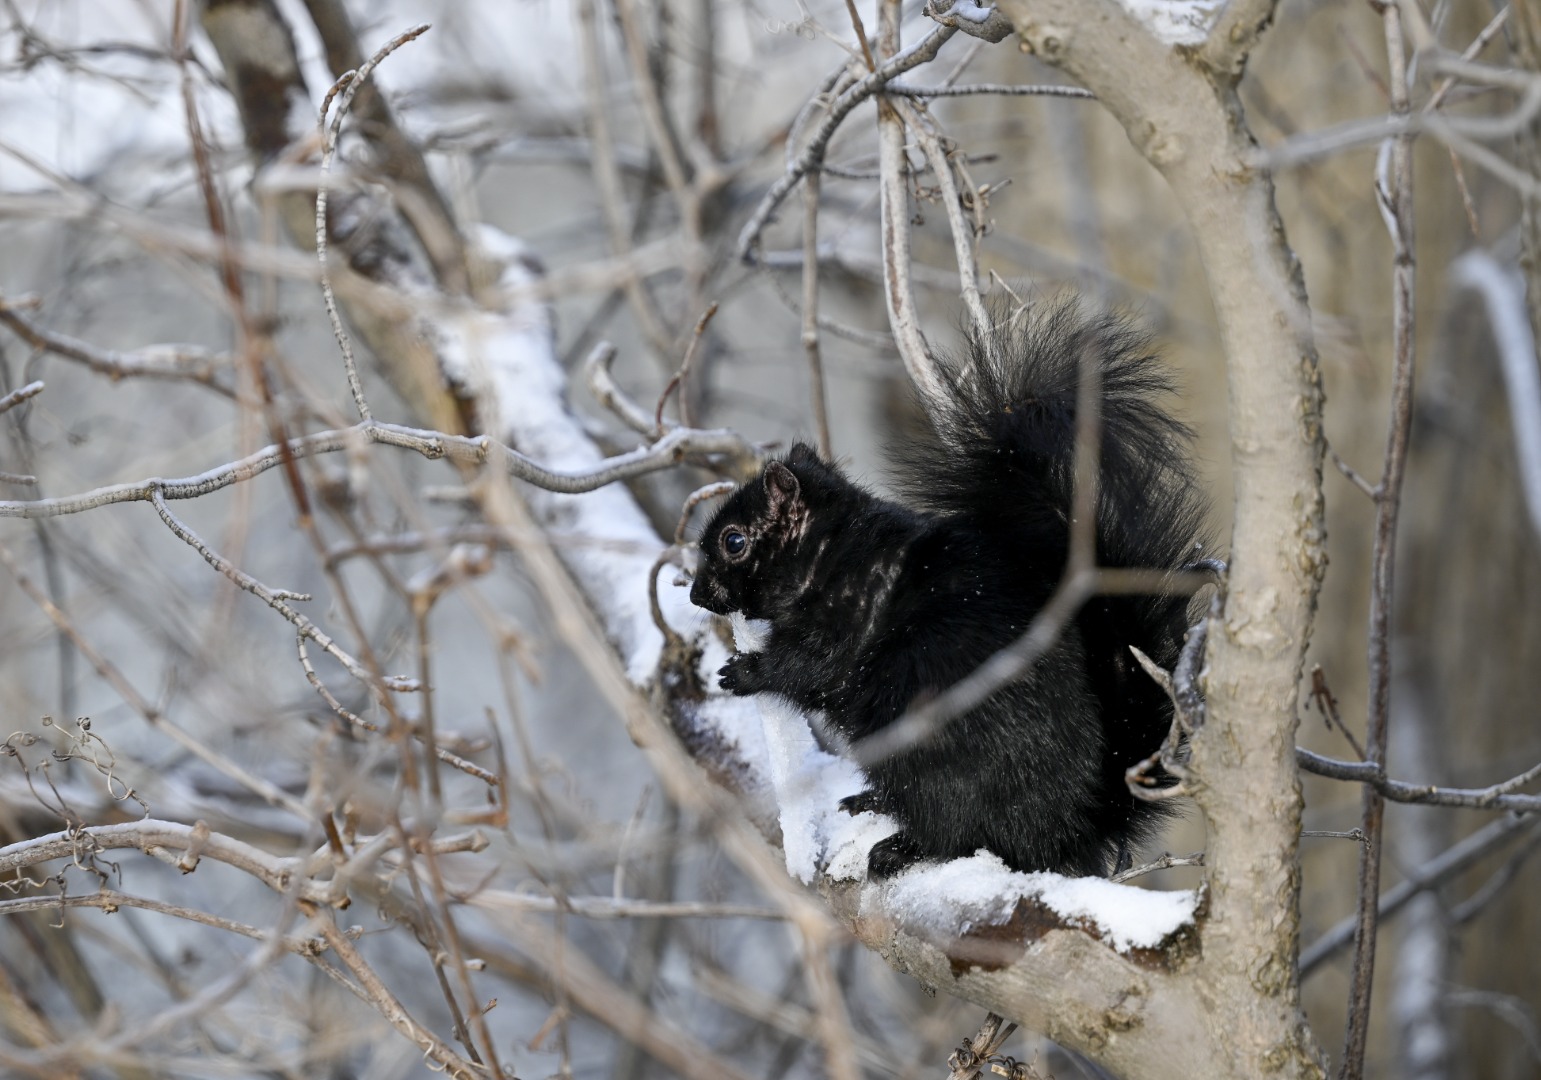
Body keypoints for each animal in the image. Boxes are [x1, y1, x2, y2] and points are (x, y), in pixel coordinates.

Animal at [693, 298, 1208, 881]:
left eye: (734, 541)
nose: (696, 594)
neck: (832, 554)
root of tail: (1071, 825)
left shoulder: (847, 620)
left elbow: (811, 669)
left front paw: (744, 672)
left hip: (927, 747)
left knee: (955, 831)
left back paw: (901, 846)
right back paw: (871, 802)